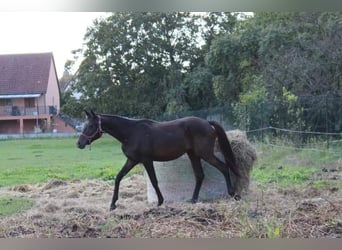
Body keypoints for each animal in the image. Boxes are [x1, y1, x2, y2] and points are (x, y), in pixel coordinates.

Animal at [77, 110, 240, 210]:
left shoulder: (146, 160)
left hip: (205, 154)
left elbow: (154, 181)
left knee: (223, 167)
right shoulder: (132, 160)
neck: (131, 132)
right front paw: (112, 205)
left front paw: (160, 202)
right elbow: (118, 178)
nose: (79, 143)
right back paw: (193, 200)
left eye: (91, 125)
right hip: (193, 154)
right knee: (200, 175)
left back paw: (232, 193)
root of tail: (207, 122)